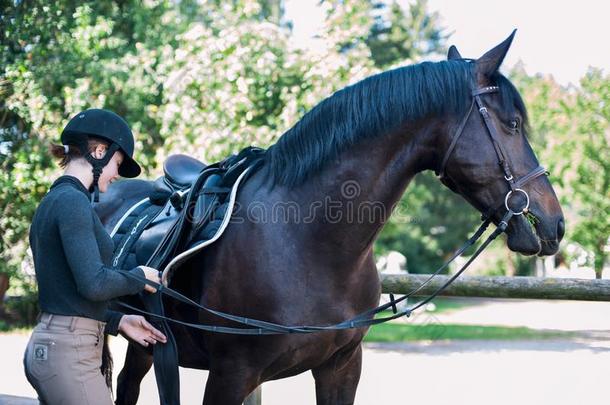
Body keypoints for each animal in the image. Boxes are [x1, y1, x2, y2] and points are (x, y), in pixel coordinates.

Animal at [97, 33, 564, 402]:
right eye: (513, 123)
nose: (554, 223)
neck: (307, 241)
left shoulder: (341, 367)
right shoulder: (232, 375)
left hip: (144, 345)